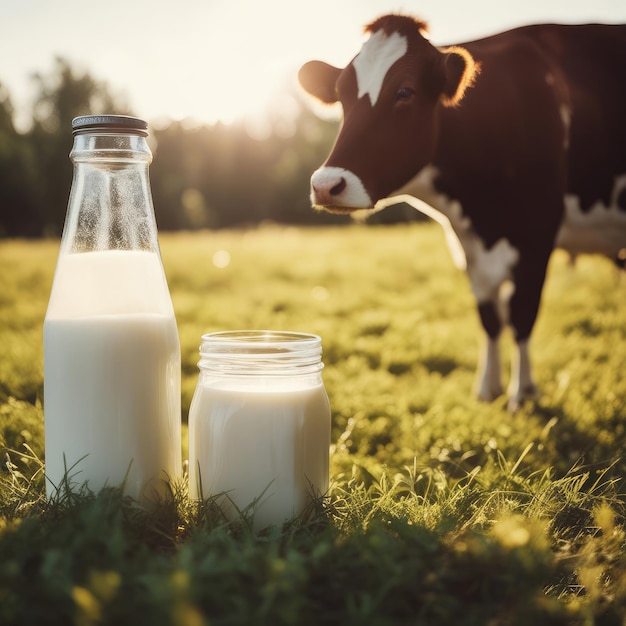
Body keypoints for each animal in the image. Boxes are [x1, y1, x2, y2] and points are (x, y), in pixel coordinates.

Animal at [298, 14, 624, 410]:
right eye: (342, 94)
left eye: (404, 92)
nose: (326, 184)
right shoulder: (470, 247)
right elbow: (489, 317)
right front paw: (488, 388)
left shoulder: (538, 235)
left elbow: (522, 315)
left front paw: (522, 393)